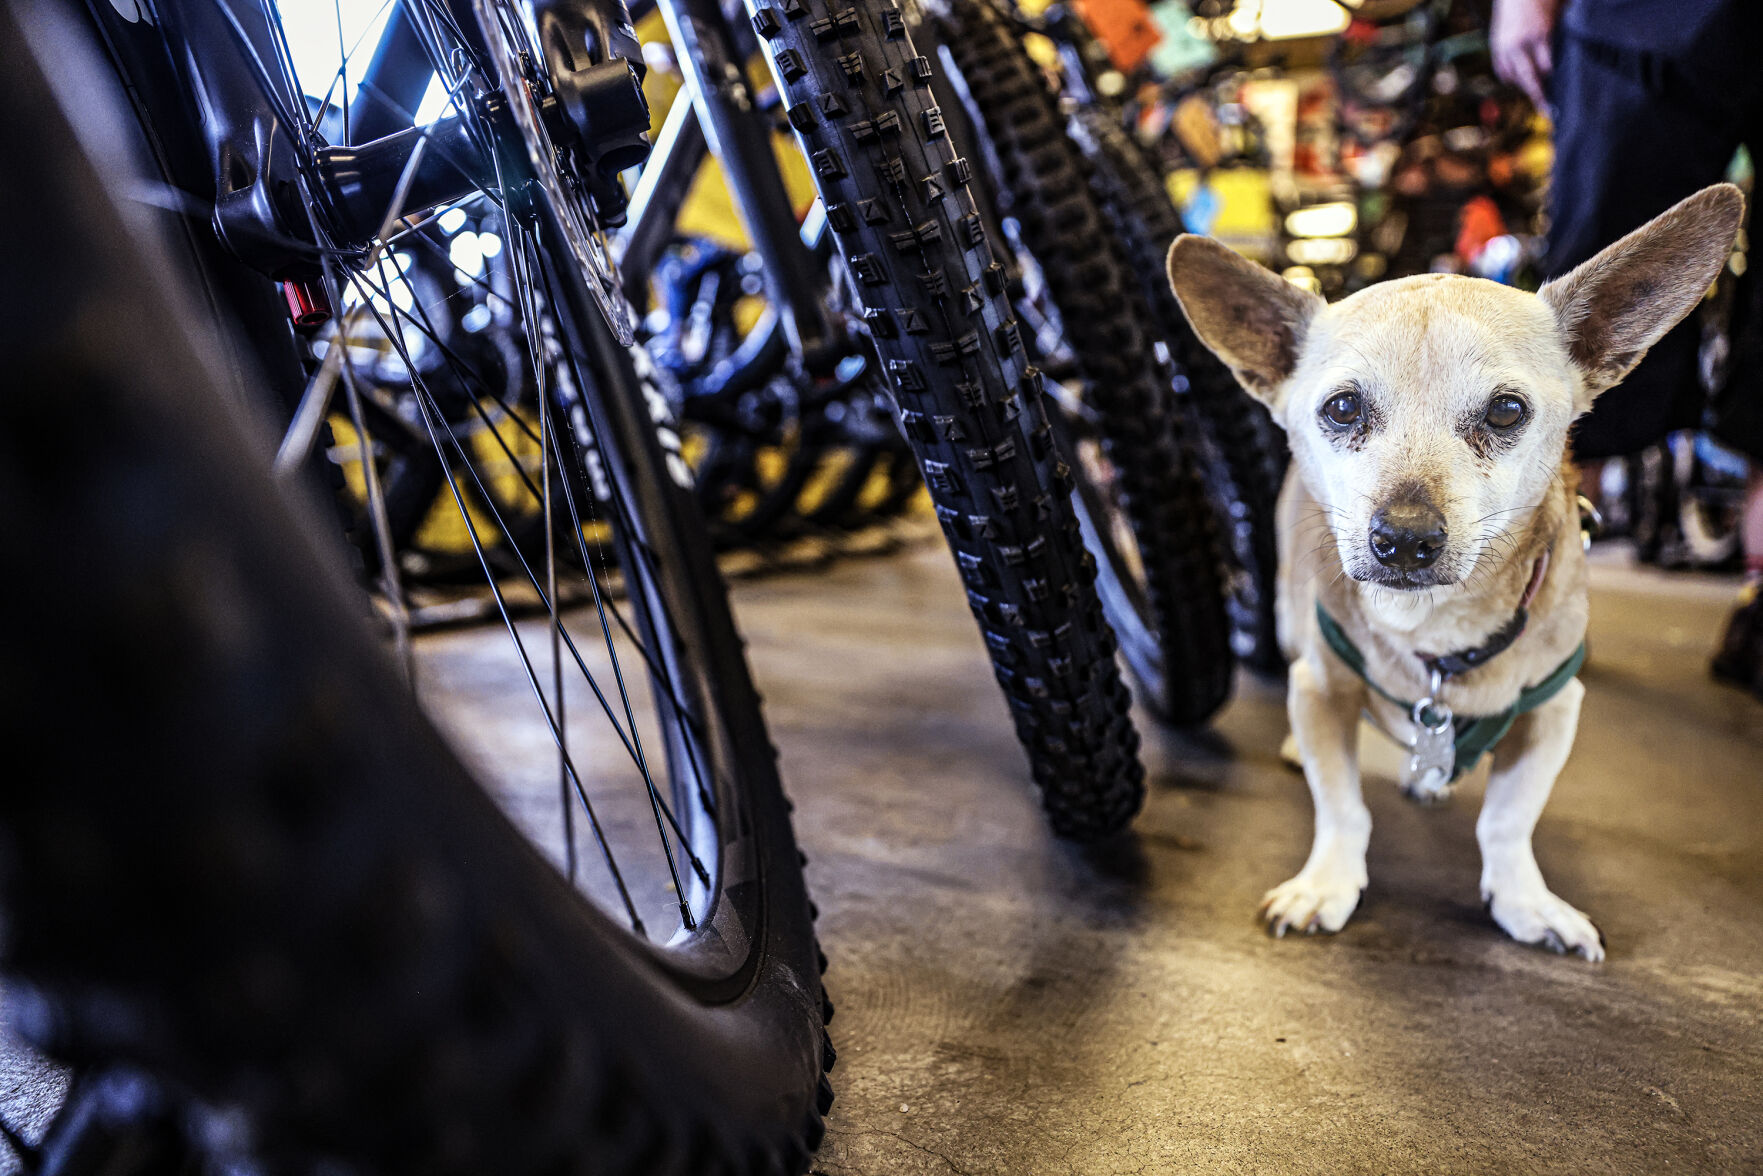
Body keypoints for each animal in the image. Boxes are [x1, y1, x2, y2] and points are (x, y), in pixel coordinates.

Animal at [1163, 181, 1741, 959]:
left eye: (1506, 411)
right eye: (1341, 408)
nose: (1403, 540)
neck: (1433, 632)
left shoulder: (1555, 710)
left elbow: (1507, 820)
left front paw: (1525, 902)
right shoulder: (1320, 688)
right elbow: (1340, 804)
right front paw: (1327, 882)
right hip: (1286, 621)